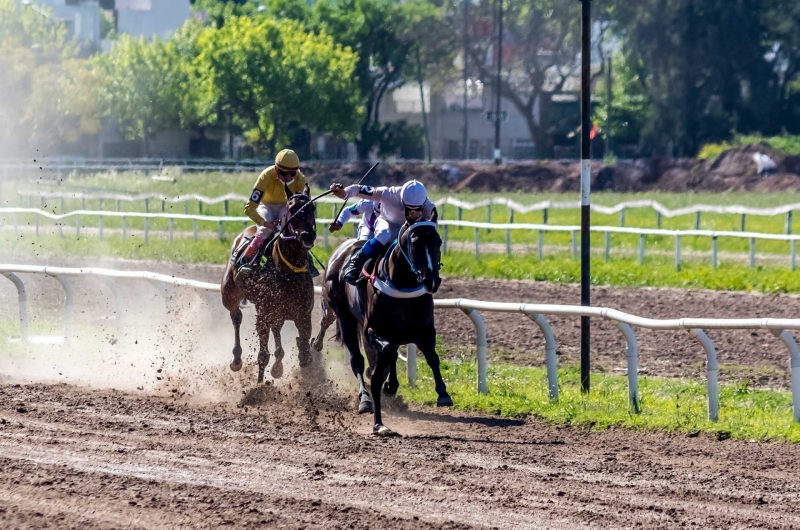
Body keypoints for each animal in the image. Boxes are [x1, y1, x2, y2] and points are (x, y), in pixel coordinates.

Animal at [222, 184, 318, 382]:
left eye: (312, 208)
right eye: (292, 208)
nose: (308, 235)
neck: (288, 271)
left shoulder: (304, 316)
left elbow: (305, 355)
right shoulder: (263, 315)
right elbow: (262, 355)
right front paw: (260, 384)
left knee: (276, 327)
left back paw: (278, 363)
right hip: (229, 295)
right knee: (236, 316)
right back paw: (237, 359)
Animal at [310, 219, 450, 434]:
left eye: (438, 241)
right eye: (415, 243)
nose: (432, 280)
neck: (403, 286)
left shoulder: (424, 330)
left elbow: (432, 357)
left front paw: (443, 393)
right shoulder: (372, 330)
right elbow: (386, 354)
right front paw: (383, 387)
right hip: (344, 316)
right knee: (357, 360)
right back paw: (365, 400)